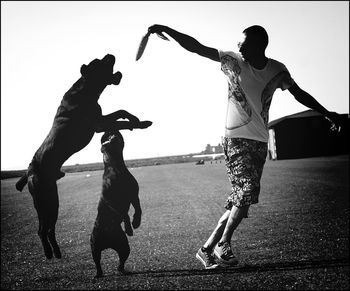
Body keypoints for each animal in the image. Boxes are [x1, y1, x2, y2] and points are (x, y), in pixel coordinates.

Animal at [89, 122, 151, 280]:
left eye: (113, 136)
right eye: (107, 140)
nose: (112, 134)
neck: (115, 166)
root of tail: (108, 243)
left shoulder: (134, 195)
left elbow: (138, 209)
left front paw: (136, 222)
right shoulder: (110, 201)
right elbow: (124, 214)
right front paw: (129, 226)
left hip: (123, 246)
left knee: (121, 260)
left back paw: (122, 270)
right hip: (94, 247)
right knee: (97, 262)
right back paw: (98, 274)